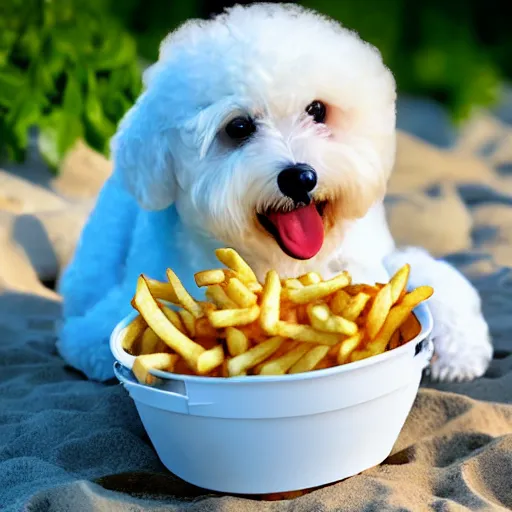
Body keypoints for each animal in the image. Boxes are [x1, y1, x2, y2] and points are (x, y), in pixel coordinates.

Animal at [56, 3, 492, 380]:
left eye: (317, 110)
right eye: (238, 128)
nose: (300, 177)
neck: (281, 269)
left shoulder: (374, 261)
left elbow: (429, 276)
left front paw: (459, 349)